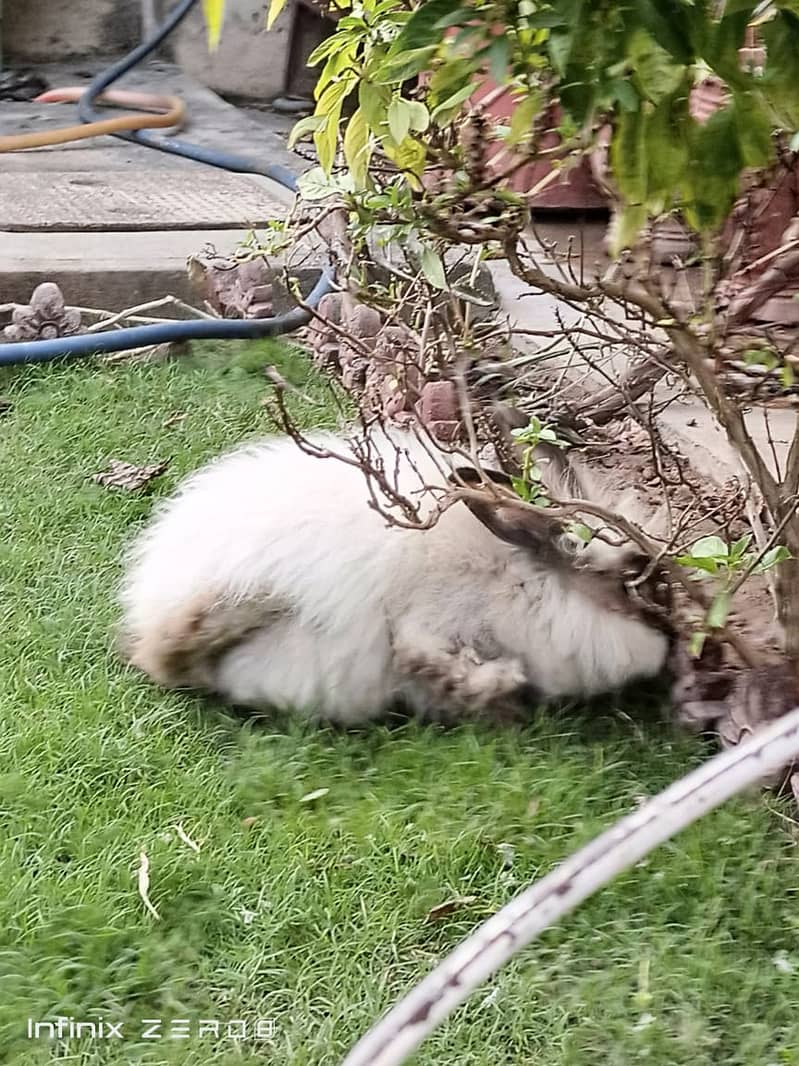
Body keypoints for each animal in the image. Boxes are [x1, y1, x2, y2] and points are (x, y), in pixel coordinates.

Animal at [118, 426, 669, 724]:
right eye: (637, 582)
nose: (670, 648)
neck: (522, 578)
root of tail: (151, 604)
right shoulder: (433, 617)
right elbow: (424, 656)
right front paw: (501, 689)